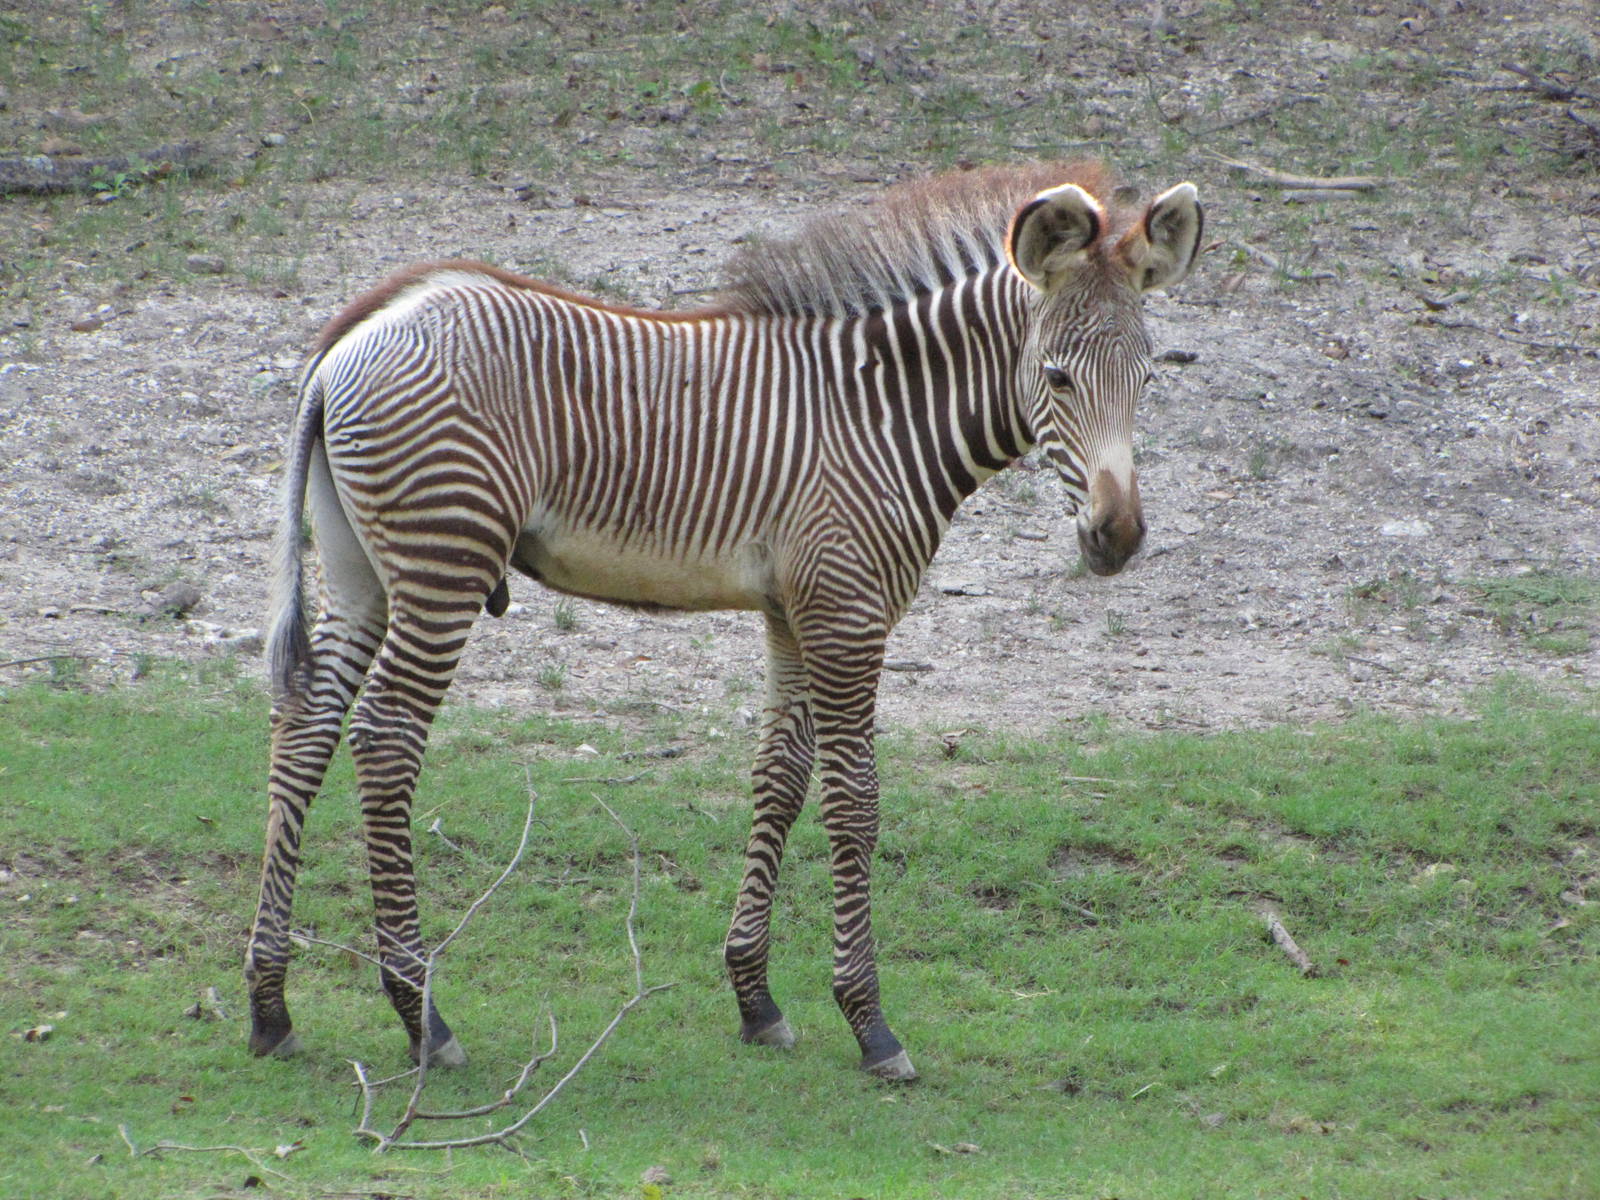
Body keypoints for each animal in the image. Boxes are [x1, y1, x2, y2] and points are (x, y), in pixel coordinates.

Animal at [245, 161, 1203, 1081]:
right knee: (384, 738)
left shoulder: (794, 608)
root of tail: (351, 339)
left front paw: (757, 999)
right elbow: (855, 800)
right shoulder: (849, 610)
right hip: (443, 561)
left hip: (361, 569)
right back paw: (422, 1017)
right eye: (1058, 378)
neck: (882, 417)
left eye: (1147, 381)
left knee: (305, 726)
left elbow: (780, 777)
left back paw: (270, 1008)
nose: (1118, 538)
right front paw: (870, 1024)